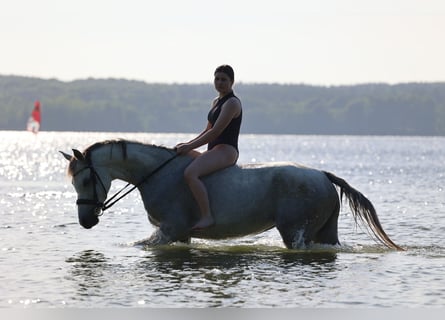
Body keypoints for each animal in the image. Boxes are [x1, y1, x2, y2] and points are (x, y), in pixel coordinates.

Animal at [59, 139, 402, 250]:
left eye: (86, 179)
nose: (86, 220)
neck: (157, 174)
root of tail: (322, 175)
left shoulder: (169, 230)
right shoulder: (179, 235)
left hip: (296, 232)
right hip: (325, 232)